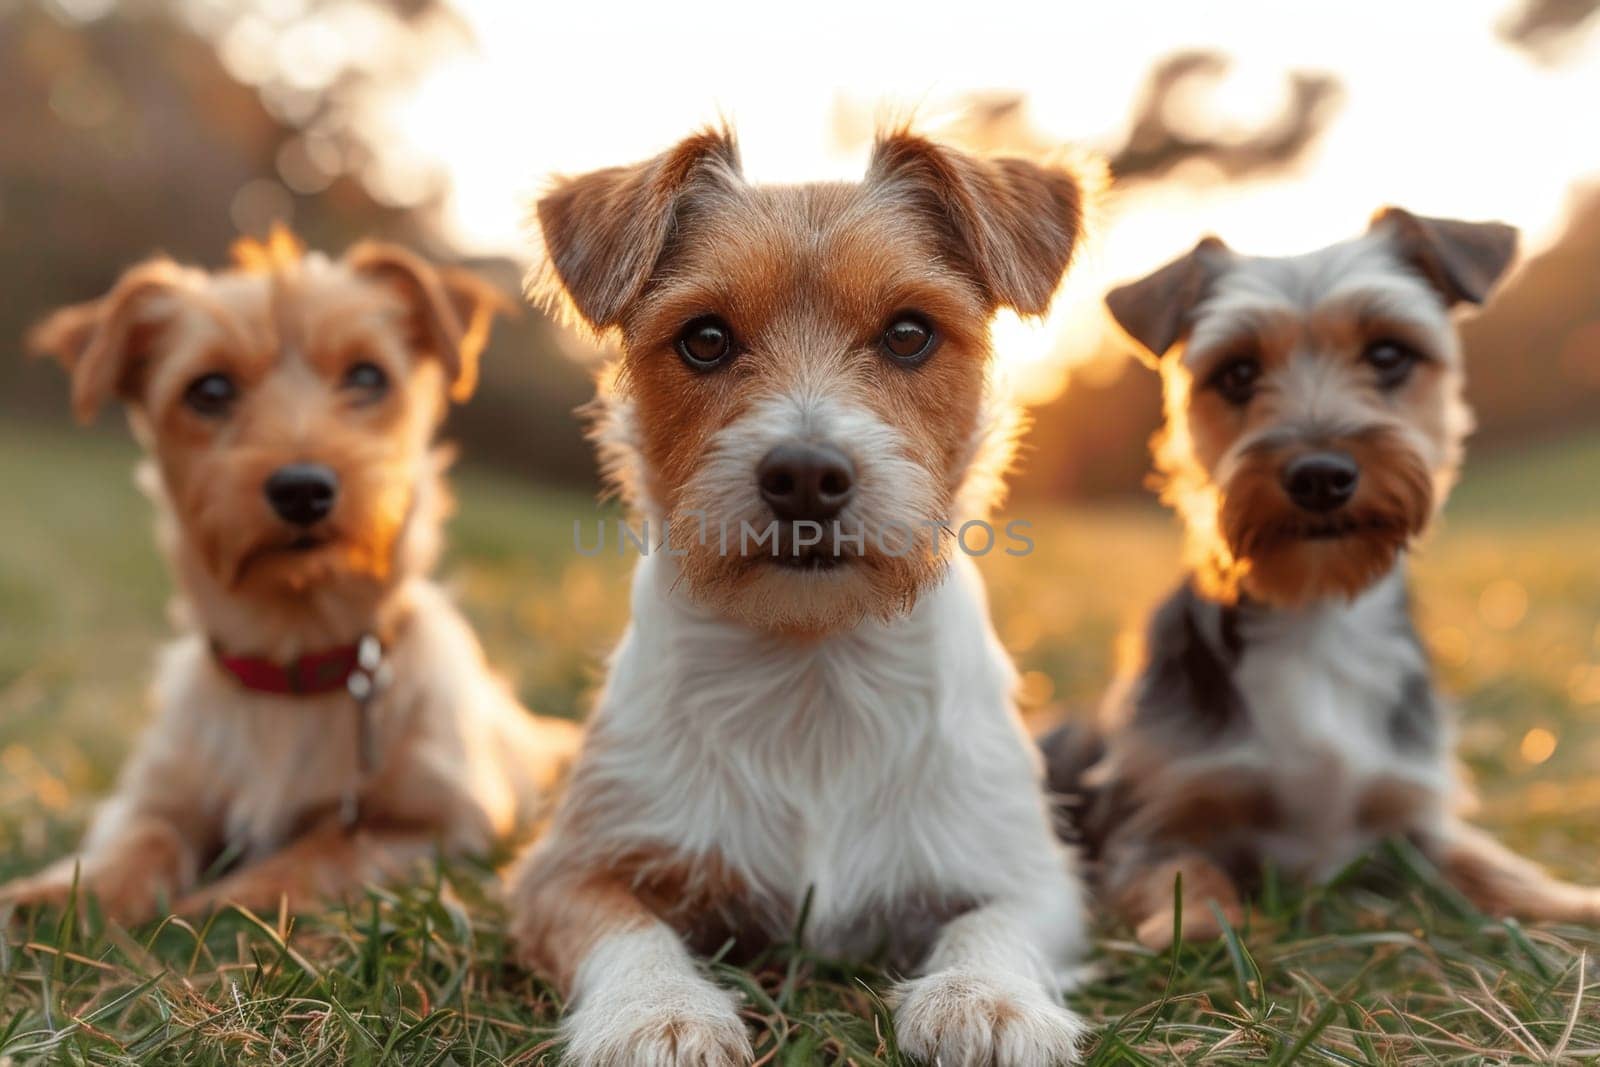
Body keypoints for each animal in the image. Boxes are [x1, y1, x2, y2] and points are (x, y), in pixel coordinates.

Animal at [0, 231, 576, 927]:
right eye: (209, 390)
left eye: (367, 375)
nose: (303, 488)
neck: (296, 656)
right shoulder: (153, 793)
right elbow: (145, 836)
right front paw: (67, 891)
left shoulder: (445, 823)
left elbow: (328, 847)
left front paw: (234, 898)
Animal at [505, 131, 1094, 1067]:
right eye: (705, 338)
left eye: (909, 332)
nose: (807, 476)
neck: (813, 670)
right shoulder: (564, 870)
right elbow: (630, 933)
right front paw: (656, 1013)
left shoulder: (1034, 875)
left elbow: (992, 925)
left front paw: (986, 998)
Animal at [1036, 207, 1600, 953]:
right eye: (1237, 372)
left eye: (1388, 354)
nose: (1320, 474)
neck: (1313, 606)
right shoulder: (1155, 816)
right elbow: (1182, 874)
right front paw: (1210, 928)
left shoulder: (1412, 817)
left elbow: (1491, 863)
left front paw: (1571, 902)